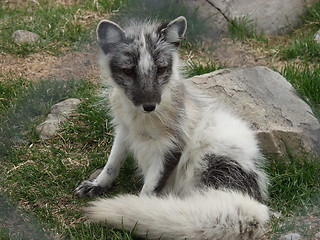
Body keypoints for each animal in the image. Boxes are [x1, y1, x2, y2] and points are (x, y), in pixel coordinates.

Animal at [75, 15, 270, 239]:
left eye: (160, 69)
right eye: (128, 71)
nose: (149, 106)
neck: (140, 120)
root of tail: (252, 201)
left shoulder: (170, 147)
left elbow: (149, 189)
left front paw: (141, 211)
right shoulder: (123, 130)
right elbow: (112, 163)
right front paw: (98, 184)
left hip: (207, 158)